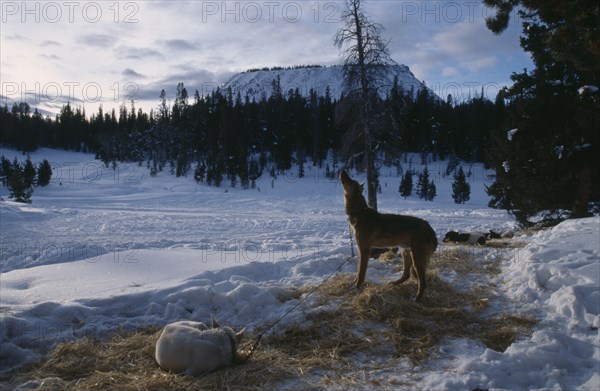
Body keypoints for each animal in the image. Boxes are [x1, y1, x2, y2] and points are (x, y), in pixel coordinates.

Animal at [342, 170, 436, 302]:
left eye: (350, 180)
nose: (342, 171)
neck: (359, 212)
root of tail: (431, 230)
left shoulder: (365, 250)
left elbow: (361, 273)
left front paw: (356, 287)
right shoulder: (362, 250)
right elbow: (358, 272)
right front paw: (354, 284)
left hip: (416, 259)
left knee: (422, 283)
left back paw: (416, 299)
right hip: (406, 252)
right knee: (406, 275)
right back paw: (394, 284)